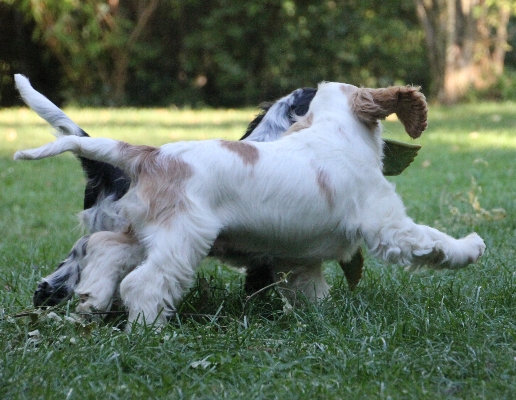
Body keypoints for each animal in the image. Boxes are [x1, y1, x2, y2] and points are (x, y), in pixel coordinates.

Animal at [15, 81, 486, 328]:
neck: (333, 131)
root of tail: (148, 154)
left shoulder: (298, 257)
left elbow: (309, 287)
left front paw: (319, 315)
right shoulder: (389, 226)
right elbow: (432, 241)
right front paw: (472, 246)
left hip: (144, 231)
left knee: (103, 249)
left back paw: (92, 299)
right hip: (182, 239)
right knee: (143, 282)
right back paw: (148, 328)